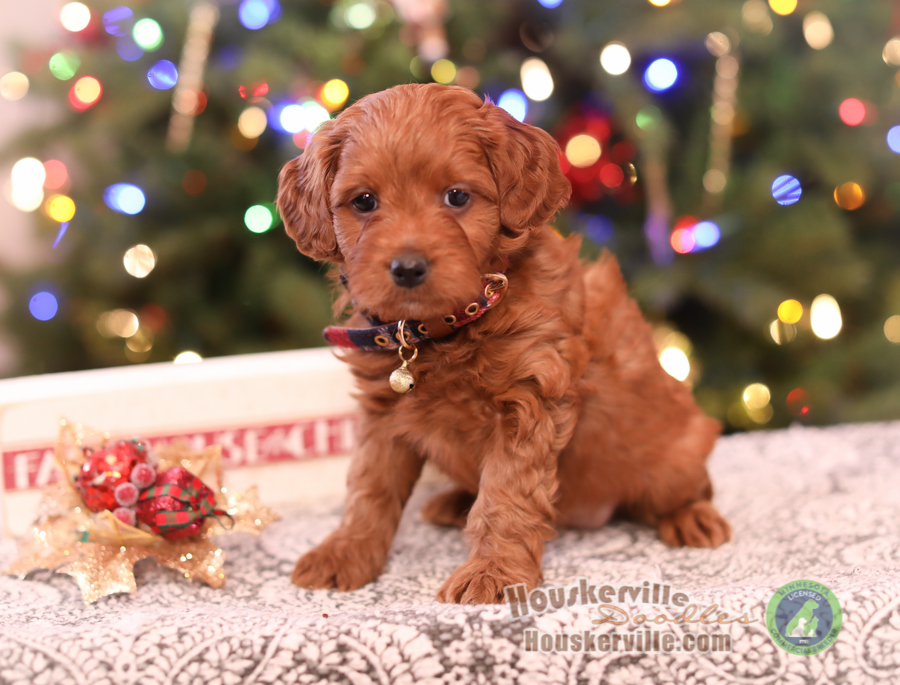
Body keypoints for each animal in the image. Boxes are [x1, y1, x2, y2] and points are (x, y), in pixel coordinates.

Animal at [276, 83, 730, 605]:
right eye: (364, 201)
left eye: (457, 196)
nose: (407, 268)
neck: (446, 327)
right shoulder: (383, 413)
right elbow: (369, 487)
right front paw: (345, 551)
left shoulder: (529, 401)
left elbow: (506, 495)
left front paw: (493, 573)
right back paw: (452, 500)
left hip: (673, 454)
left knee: (689, 485)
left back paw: (693, 517)